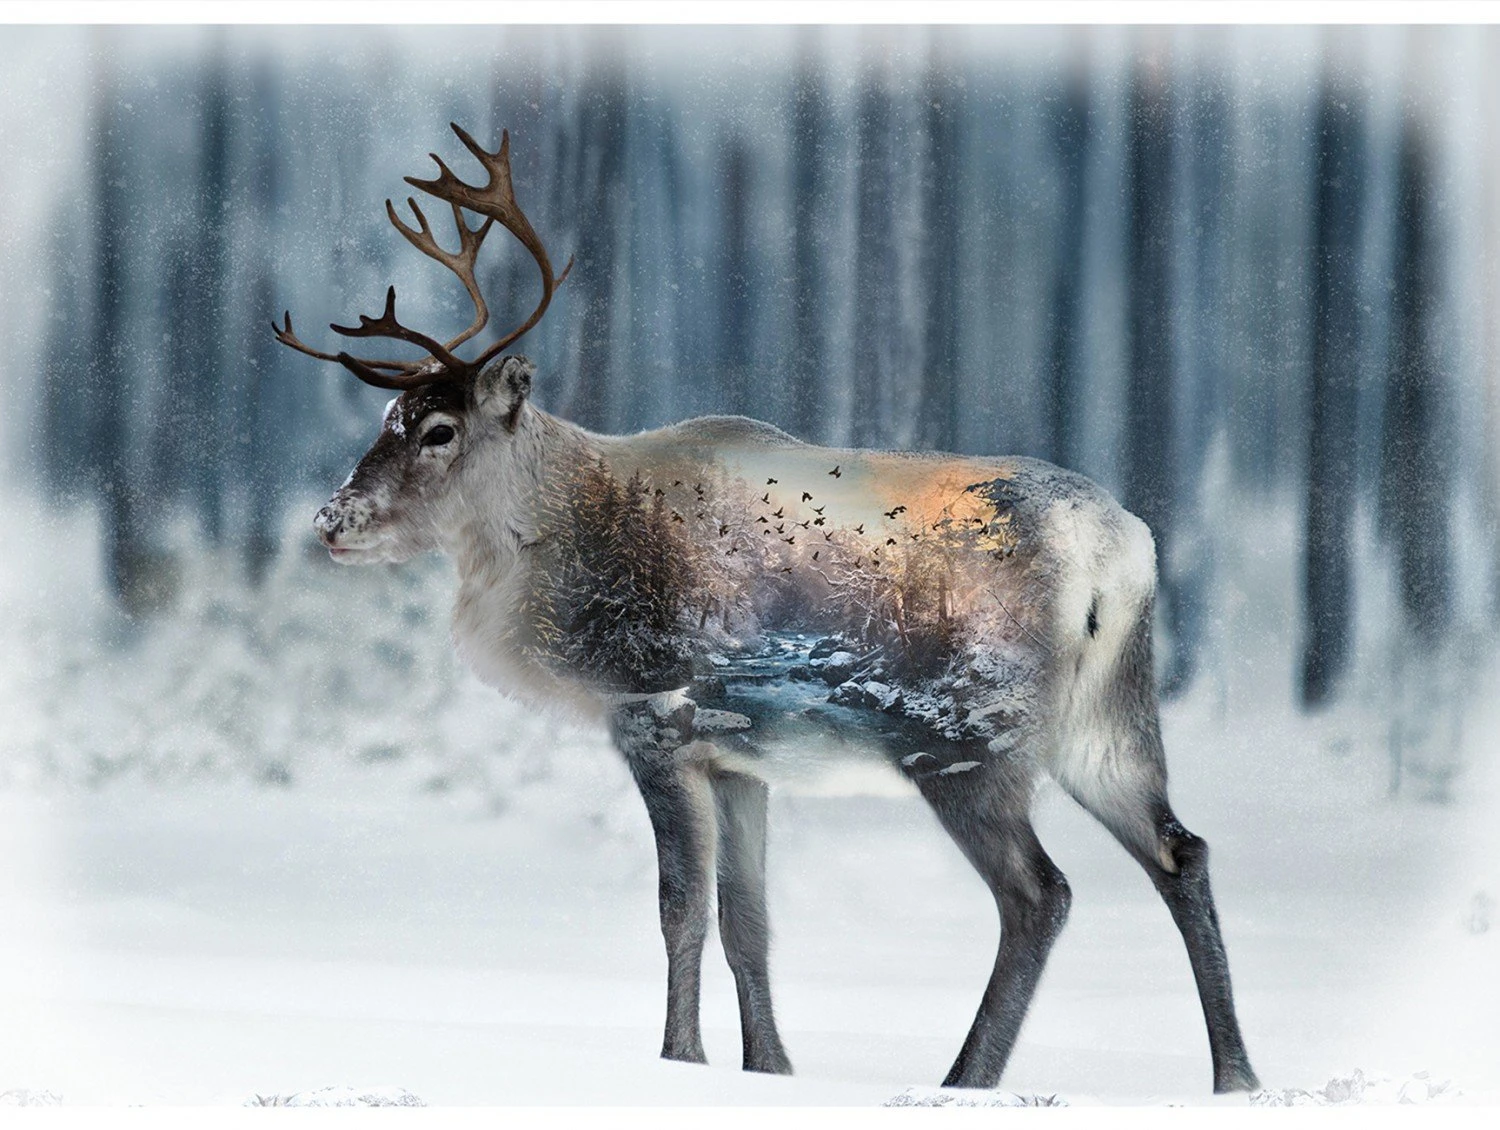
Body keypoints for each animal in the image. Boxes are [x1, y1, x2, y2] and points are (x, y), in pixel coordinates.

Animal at [275, 123, 1260, 1095]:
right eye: (387, 418)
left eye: (439, 430)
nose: (331, 521)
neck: (567, 547)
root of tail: (1117, 551)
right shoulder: (741, 756)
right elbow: (747, 921)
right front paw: (771, 1067)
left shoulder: (655, 716)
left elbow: (679, 910)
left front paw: (679, 1059)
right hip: (1108, 721)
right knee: (1184, 850)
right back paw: (1236, 1076)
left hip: (965, 739)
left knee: (1040, 894)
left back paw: (963, 1079)